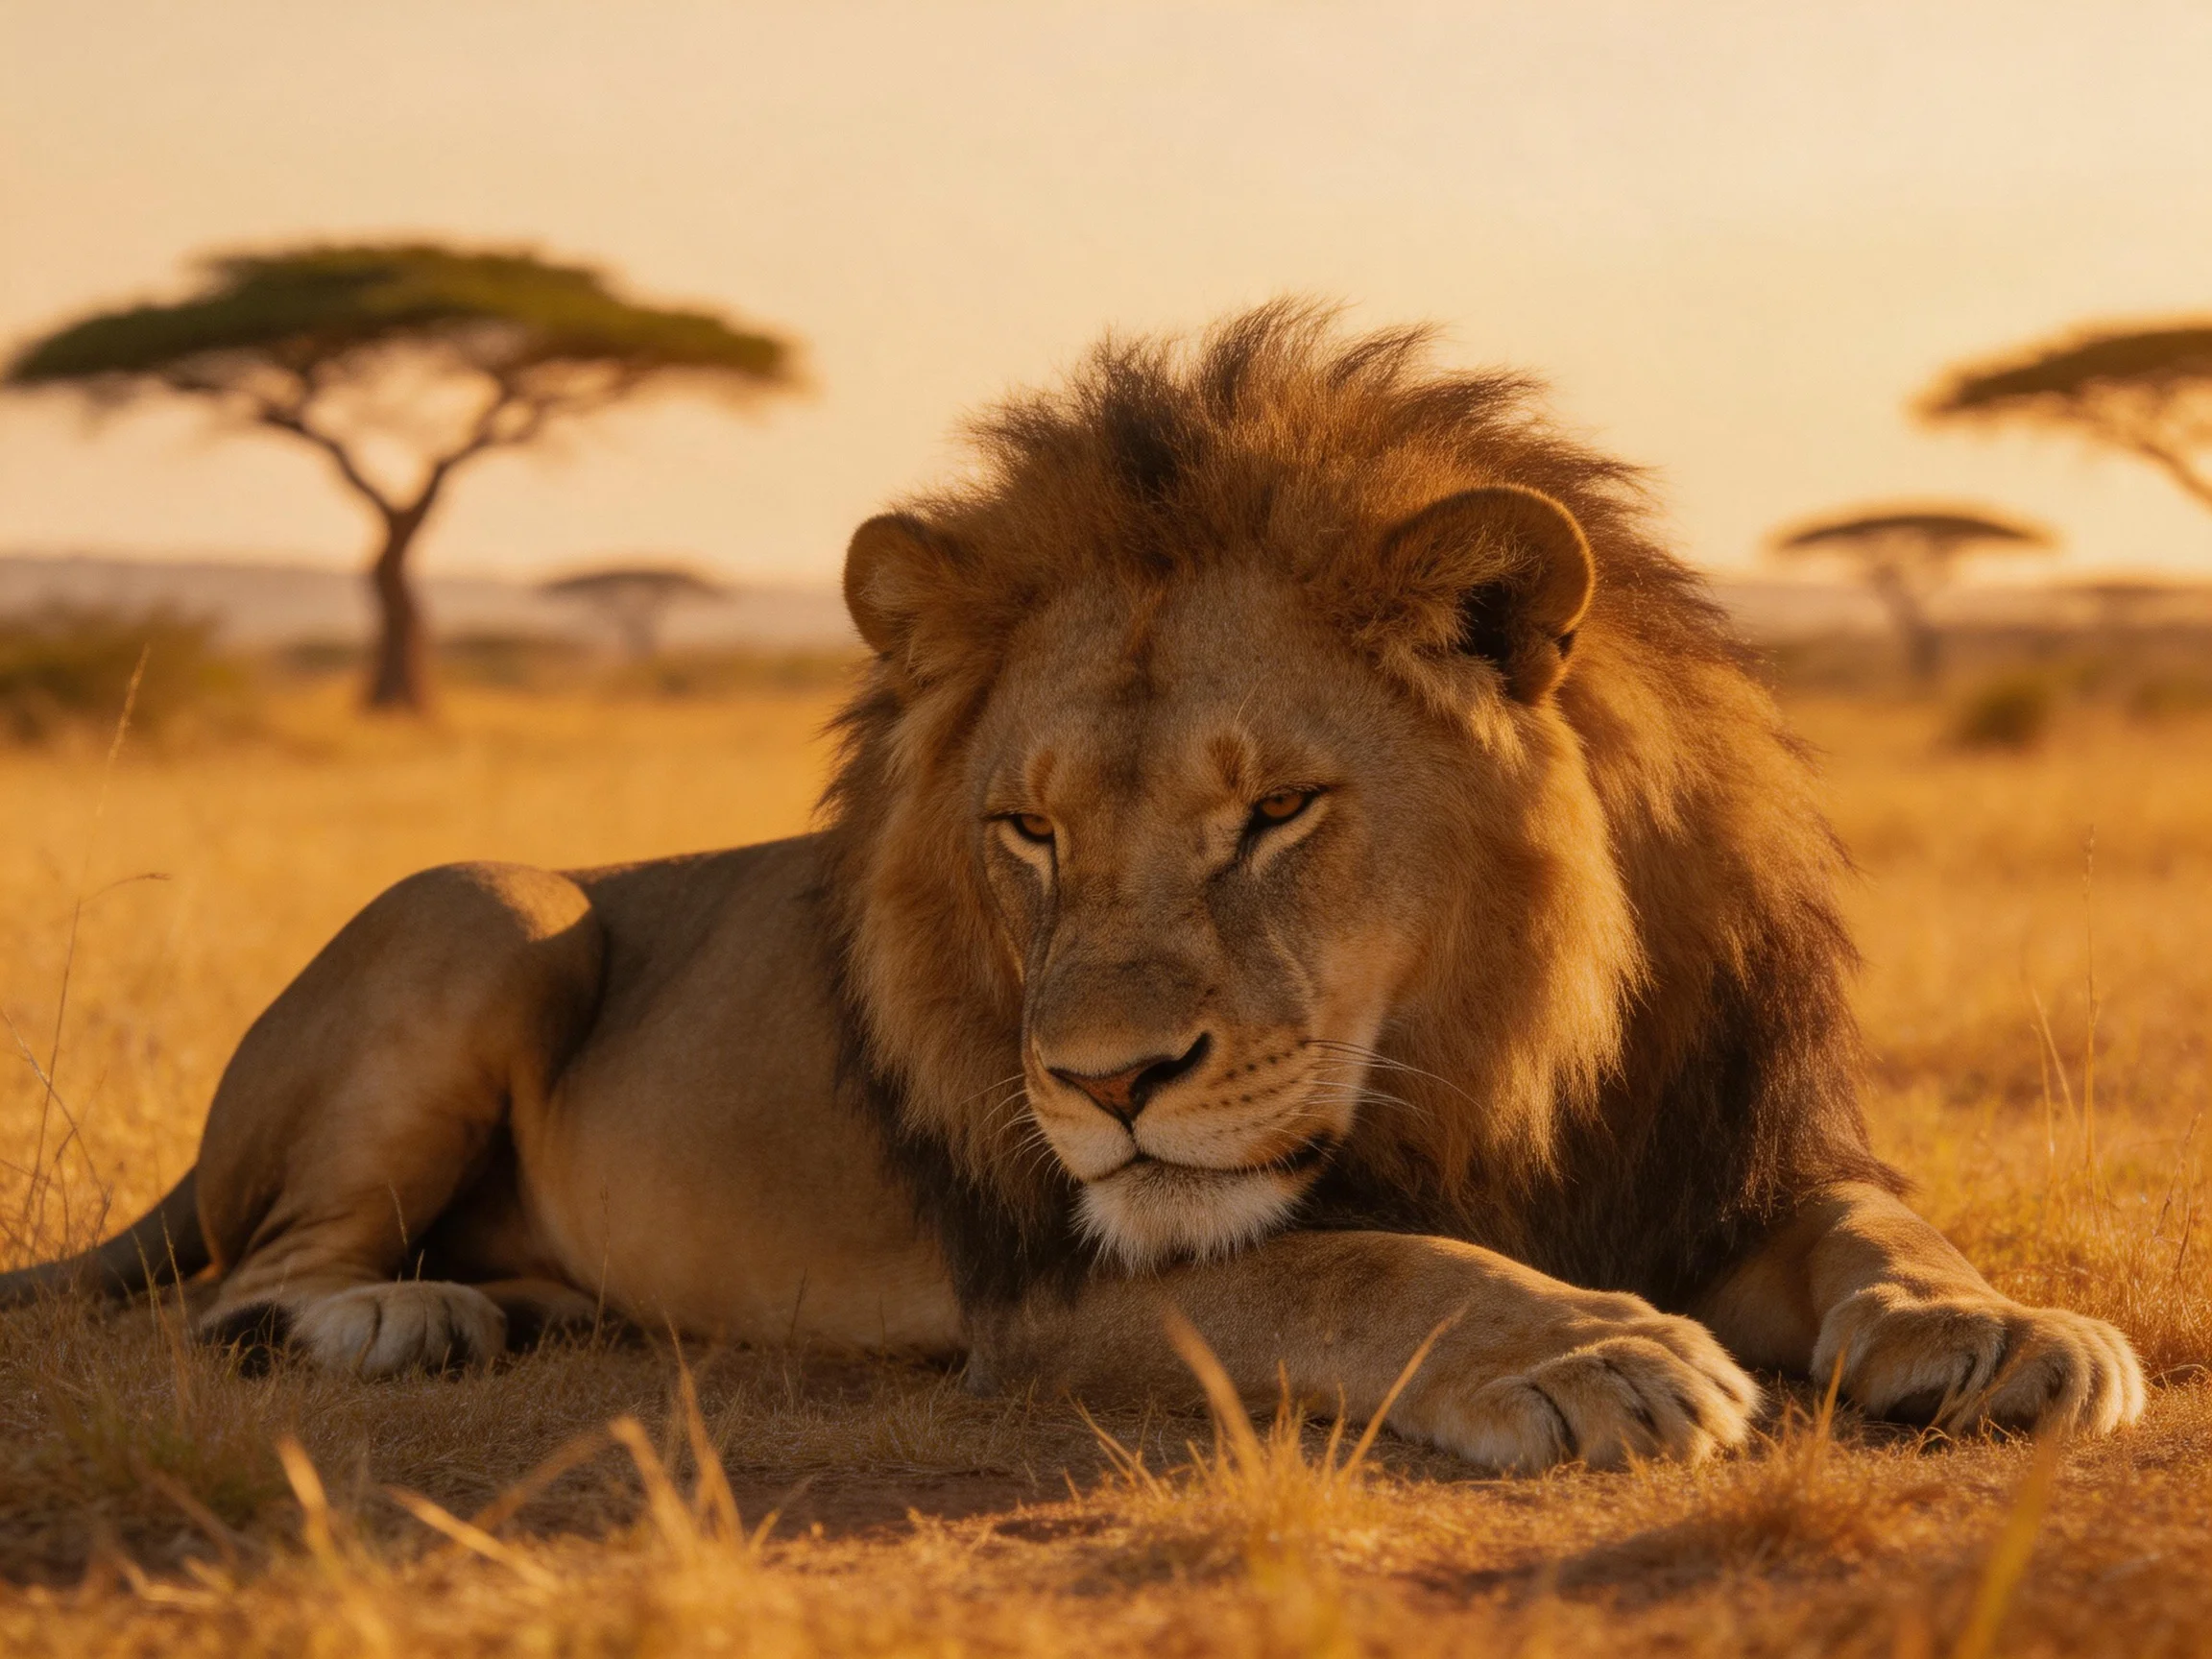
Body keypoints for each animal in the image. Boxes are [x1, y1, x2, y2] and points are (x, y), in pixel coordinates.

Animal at [3, 304, 2144, 1472]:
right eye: (1024, 831)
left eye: (1274, 810)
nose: (1106, 1086)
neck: (1492, 1052)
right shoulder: (1054, 1288)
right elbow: (1371, 1263)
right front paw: (1591, 1352)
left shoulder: (1731, 1149)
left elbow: (1886, 1226)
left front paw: (2005, 1331)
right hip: (496, 908)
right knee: (246, 1286)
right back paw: (403, 1322)